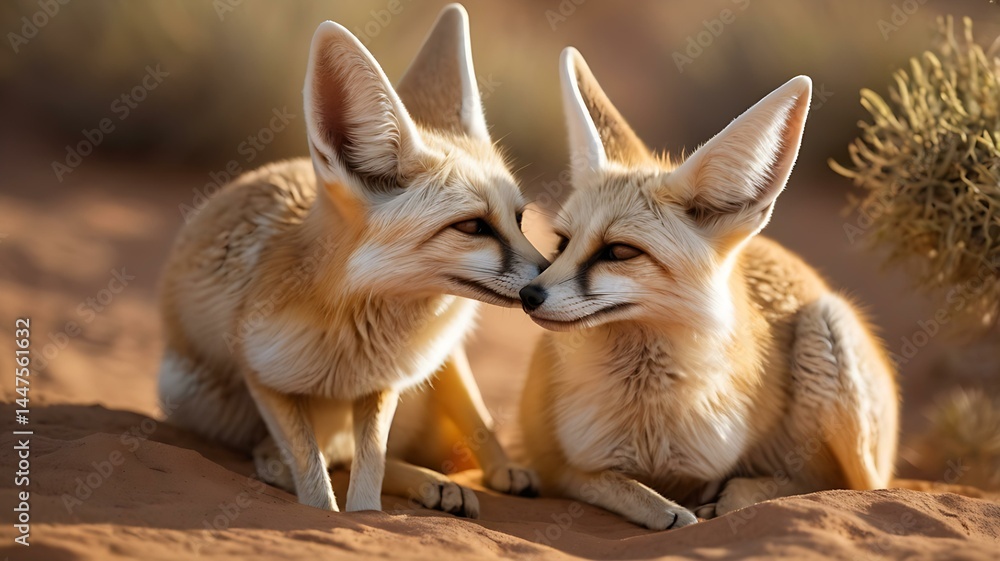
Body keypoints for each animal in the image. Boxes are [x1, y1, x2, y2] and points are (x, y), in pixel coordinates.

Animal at [157, 4, 545, 517]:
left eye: (519, 220)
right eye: (472, 226)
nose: (547, 283)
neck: (351, 336)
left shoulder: (382, 384)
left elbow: (369, 470)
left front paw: (365, 516)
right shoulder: (264, 378)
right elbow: (315, 476)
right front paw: (322, 512)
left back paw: (480, 475)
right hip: (192, 394)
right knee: (293, 453)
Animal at [517, 48, 899, 530]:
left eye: (619, 252)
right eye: (562, 244)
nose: (528, 296)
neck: (648, 422)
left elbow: (787, 486)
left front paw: (711, 500)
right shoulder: (558, 463)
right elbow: (605, 482)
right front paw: (665, 509)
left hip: (827, 327)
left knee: (855, 486)